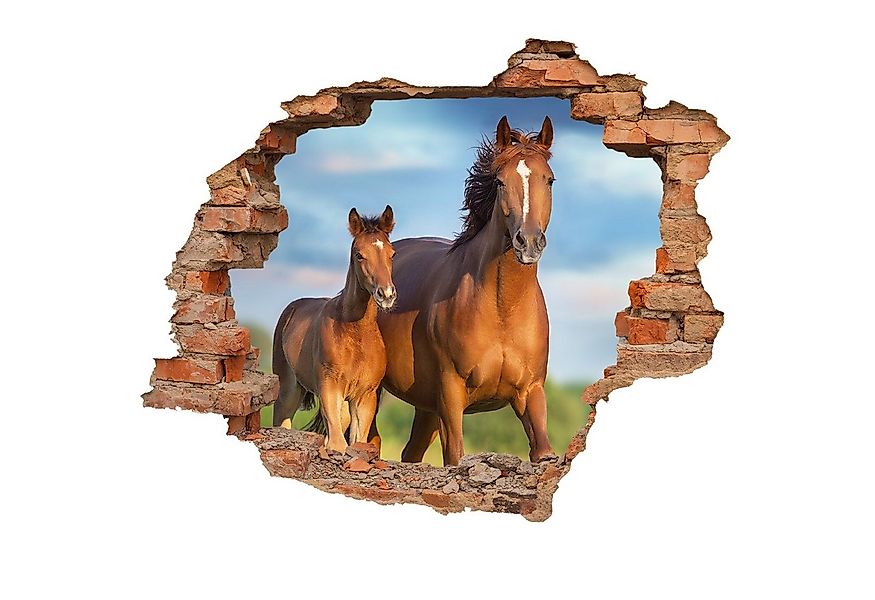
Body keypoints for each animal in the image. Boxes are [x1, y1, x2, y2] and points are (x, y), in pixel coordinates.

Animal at [272, 205, 397, 453]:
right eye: (359, 254)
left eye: (392, 253)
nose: (386, 295)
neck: (355, 333)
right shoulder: (329, 389)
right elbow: (337, 444)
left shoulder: (364, 397)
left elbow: (357, 442)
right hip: (289, 390)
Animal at [375, 116, 557, 466]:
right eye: (499, 182)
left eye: (550, 180)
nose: (528, 242)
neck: (502, 308)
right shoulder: (451, 395)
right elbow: (456, 456)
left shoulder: (531, 392)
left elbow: (543, 451)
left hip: (426, 408)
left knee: (411, 453)